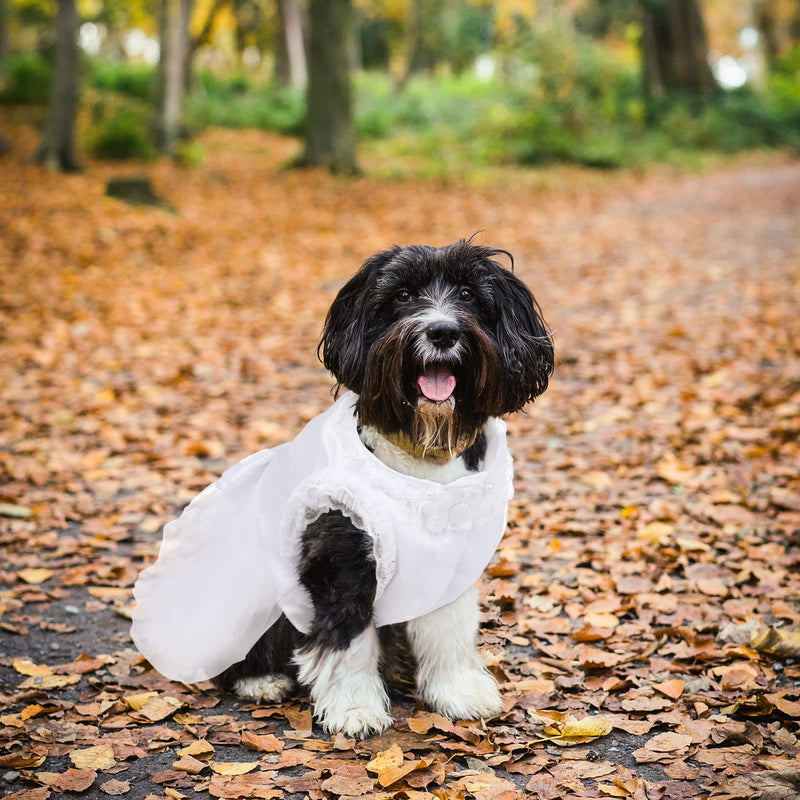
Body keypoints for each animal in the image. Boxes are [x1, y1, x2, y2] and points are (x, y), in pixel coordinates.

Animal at [209, 238, 552, 736]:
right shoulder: (343, 560)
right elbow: (348, 641)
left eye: (468, 294)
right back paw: (260, 680)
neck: (422, 456)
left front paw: (457, 691)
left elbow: (449, 631)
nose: (442, 332)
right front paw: (354, 708)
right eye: (403, 295)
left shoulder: (447, 562)